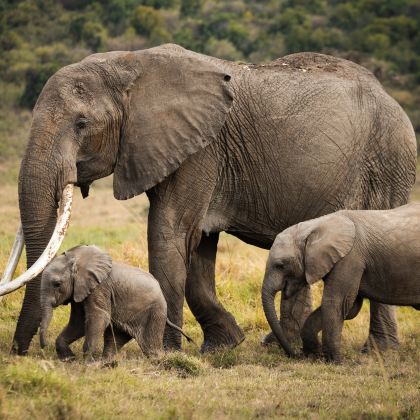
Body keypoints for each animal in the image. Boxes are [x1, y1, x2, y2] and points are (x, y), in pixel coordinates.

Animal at [40, 244, 191, 360]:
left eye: (57, 284)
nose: (44, 346)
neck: (77, 258)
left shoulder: (99, 288)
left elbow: (99, 317)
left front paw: (87, 362)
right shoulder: (80, 291)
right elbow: (79, 323)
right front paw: (69, 359)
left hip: (155, 312)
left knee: (150, 346)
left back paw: (158, 361)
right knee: (115, 338)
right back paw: (106, 363)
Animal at [260, 203, 420, 360]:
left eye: (281, 265)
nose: (295, 354)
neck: (314, 227)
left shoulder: (350, 258)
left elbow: (336, 303)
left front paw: (334, 360)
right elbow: (351, 307)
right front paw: (313, 354)